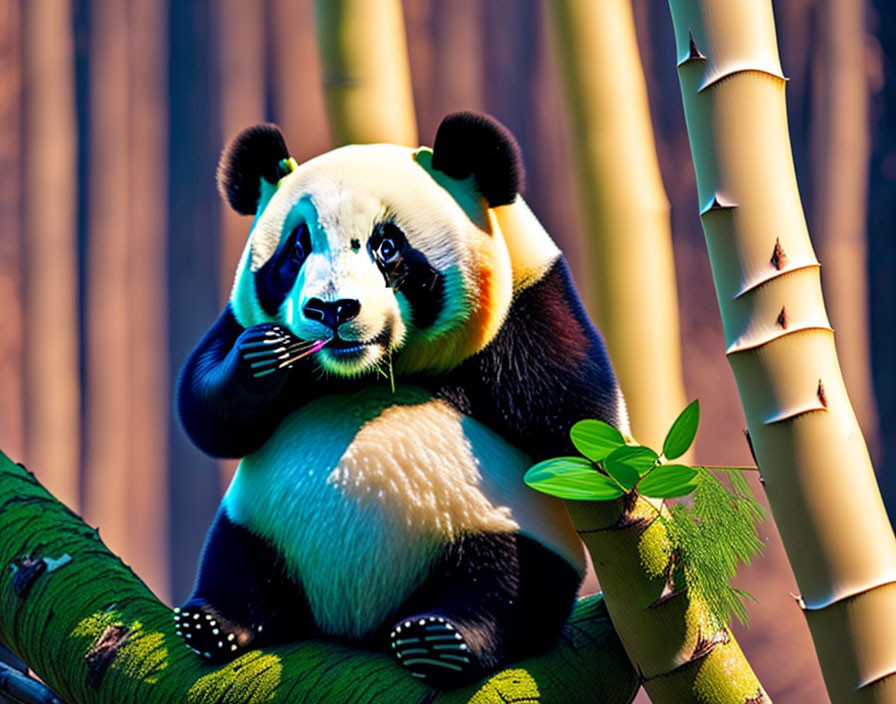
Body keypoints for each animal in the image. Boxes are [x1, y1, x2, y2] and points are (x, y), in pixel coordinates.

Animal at [173, 113, 624, 692]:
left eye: (386, 247)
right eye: (296, 249)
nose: (332, 309)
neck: (366, 372)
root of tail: (349, 622)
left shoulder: (530, 301)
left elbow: (574, 413)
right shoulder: (238, 319)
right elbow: (206, 410)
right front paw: (264, 356)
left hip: (494, 528)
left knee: (505, 582)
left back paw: (443, 639)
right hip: (258, 520)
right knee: (237, 563)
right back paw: (216, 622)